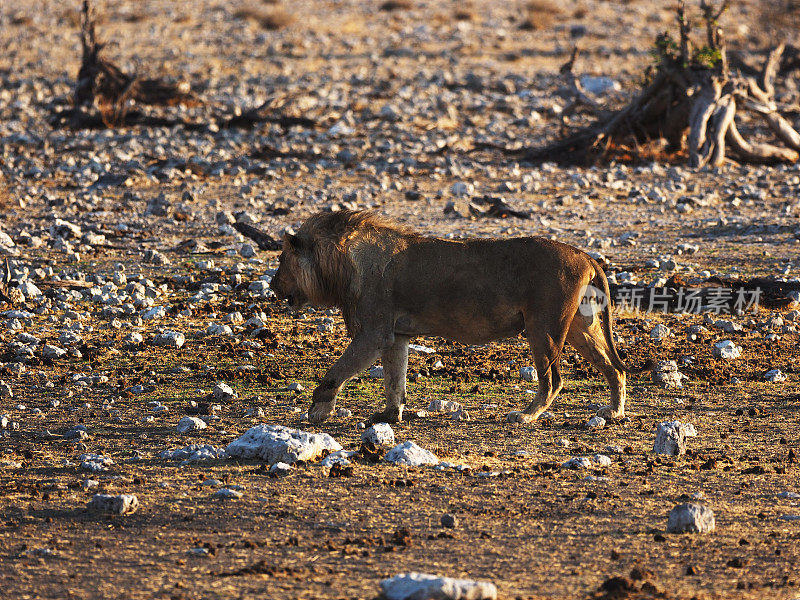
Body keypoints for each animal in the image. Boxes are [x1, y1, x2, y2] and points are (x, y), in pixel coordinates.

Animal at [268, 211, 648, 426]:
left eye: (281, 260)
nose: (271, 286)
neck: (343, 263)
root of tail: (585, 255)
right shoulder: (395, 336)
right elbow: (395, 380)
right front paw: (389, 416)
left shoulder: (373, 333)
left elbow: (337, 371)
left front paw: (318, 410)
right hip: (581, 328)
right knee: (615, 368)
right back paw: (613, 412)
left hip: (544, 327)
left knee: (553, 379)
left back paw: (525, 416)